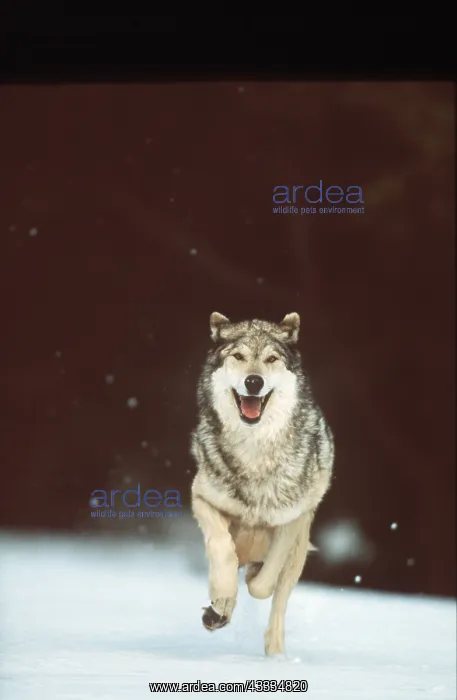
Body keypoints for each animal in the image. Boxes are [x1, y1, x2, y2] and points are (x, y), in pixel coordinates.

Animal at [190, 312, 334, 656]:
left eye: (271, 359)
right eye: (239, 357)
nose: (253, 382)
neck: (254, 452)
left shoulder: (291, 520)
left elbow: (263, 584)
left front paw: (249, 584)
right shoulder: (200, 498)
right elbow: (223, 552)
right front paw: (221, 601)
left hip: (299, 552)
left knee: (278, 604)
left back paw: (275, 656)